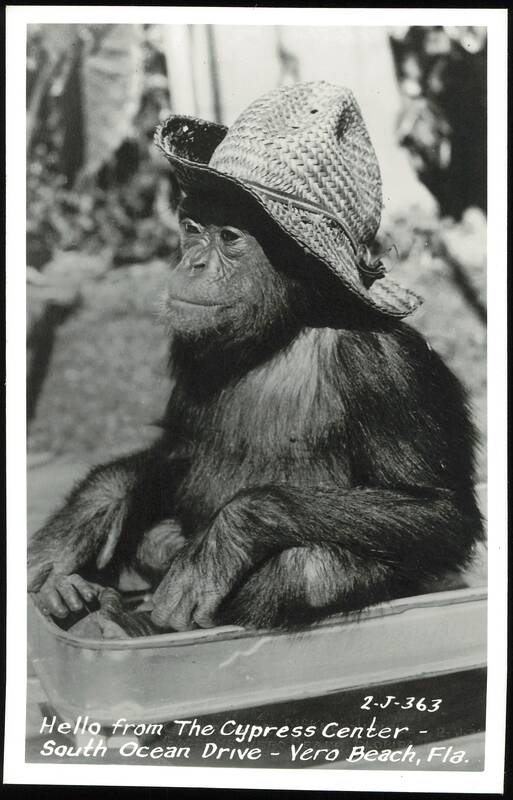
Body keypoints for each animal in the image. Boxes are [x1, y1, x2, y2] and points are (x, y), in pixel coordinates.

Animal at [27, 185, 483, 633]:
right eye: (192, 229)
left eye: (230, 237)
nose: (193, 262)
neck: (281, 331)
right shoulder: (188, 344)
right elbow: (178, 446)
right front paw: (89, 515)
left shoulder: (389, 366)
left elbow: (440, 511)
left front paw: (227, 539)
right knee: (157, 538)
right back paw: (82, 596)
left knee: (307, 570)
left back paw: (120, 619)